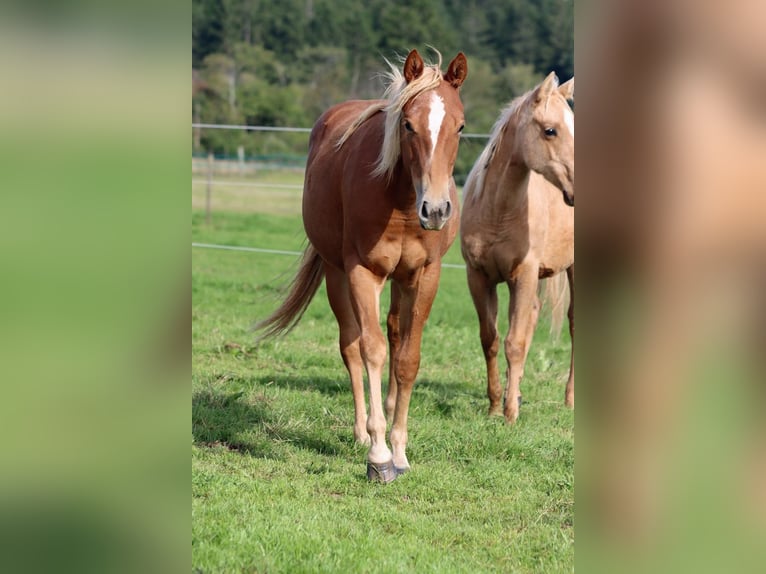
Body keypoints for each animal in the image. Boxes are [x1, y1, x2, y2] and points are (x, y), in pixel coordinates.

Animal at [255, 49, 468, 483]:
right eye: (408, 124)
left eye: (460, 126)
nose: (436, 210)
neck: (401, 202)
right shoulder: (362, 272)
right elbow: (371, 351)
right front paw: (379, 454)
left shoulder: (425, 275)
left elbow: (407, 358)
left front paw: (400, 451)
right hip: (337, 276)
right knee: (350, 345)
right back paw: (361, 432)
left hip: (399, 281)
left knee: (394, 333)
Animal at [459, 72, 574, 424]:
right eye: (550, 130)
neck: (499, 210)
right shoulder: (479, 276)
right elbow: (491, 340)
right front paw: (496, 405)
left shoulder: (523, 274)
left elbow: (516, 343)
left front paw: (510, 414)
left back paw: (570, 400)